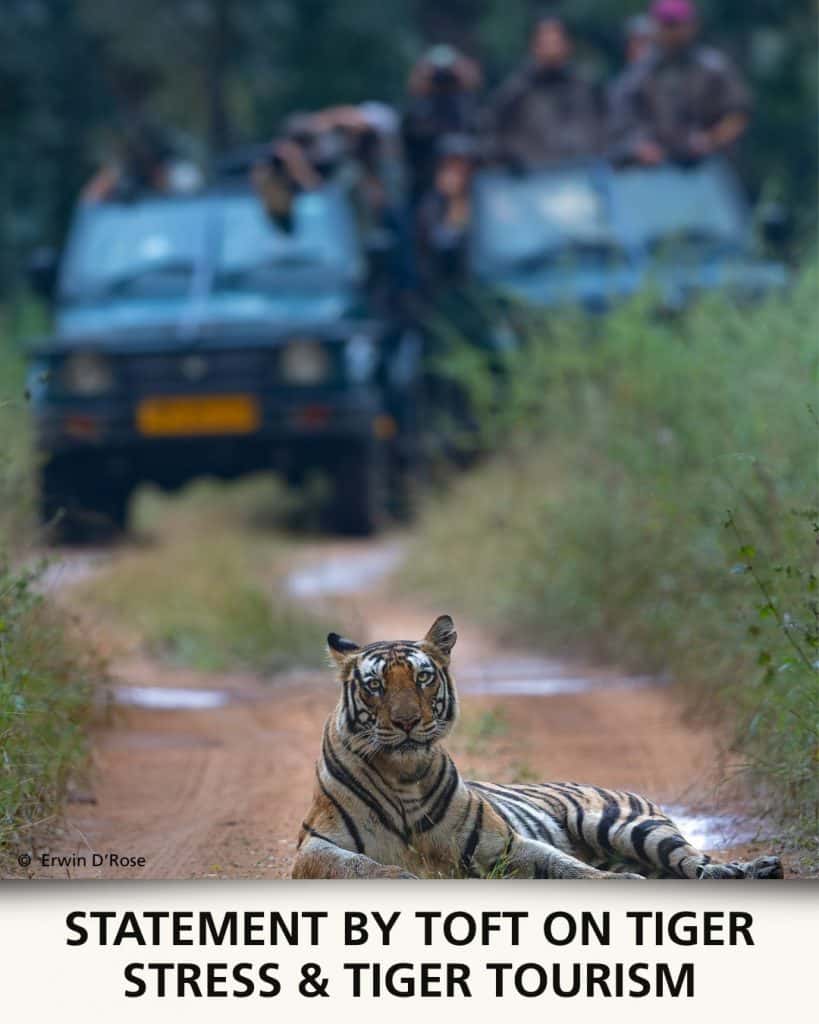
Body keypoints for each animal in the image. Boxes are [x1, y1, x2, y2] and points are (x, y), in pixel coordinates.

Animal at [292, 615, 784, 880]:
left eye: (423, 677)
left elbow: (567, 867)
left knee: (692, 858)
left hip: (625, 825)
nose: (407, 722)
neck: (403, 775)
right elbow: (363, 866)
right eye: (375, 685)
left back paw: (749, 869)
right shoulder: (314, 847)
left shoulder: (502, 845)